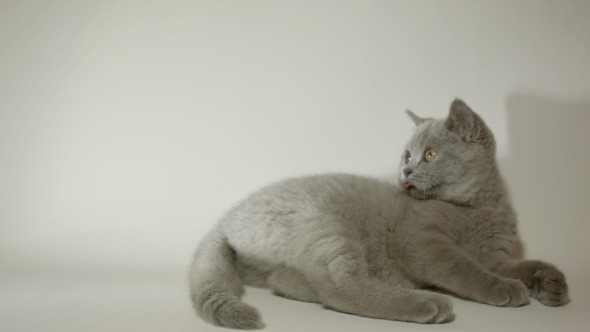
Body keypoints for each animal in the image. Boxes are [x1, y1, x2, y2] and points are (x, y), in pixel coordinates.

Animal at [187, 98, 572, 330]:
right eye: (408, 155)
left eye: (429, 155)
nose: (406, 172)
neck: (478, 208)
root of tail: (227, 218)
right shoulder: (423, 243)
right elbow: (465, 270)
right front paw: (506, 289)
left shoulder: (493, 255)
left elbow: (519, 265)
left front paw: (550, 282)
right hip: (325, 223)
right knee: (338, 287)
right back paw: (427, 303)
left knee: (289, 280)